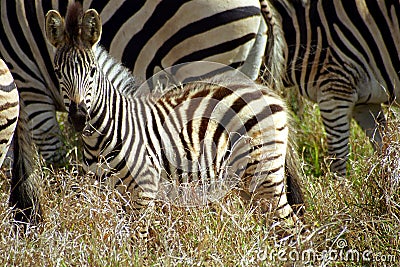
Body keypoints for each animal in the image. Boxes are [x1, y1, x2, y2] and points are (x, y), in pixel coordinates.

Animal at [43, 3, 302, 226]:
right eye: (57, 72)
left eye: (92, 72)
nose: (78, 117)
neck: (103, 136)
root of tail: (267, 91)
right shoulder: (107, 194)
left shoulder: (144, 192)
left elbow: (138, 240)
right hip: (247, 183)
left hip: (264, 173)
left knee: (290, 226)